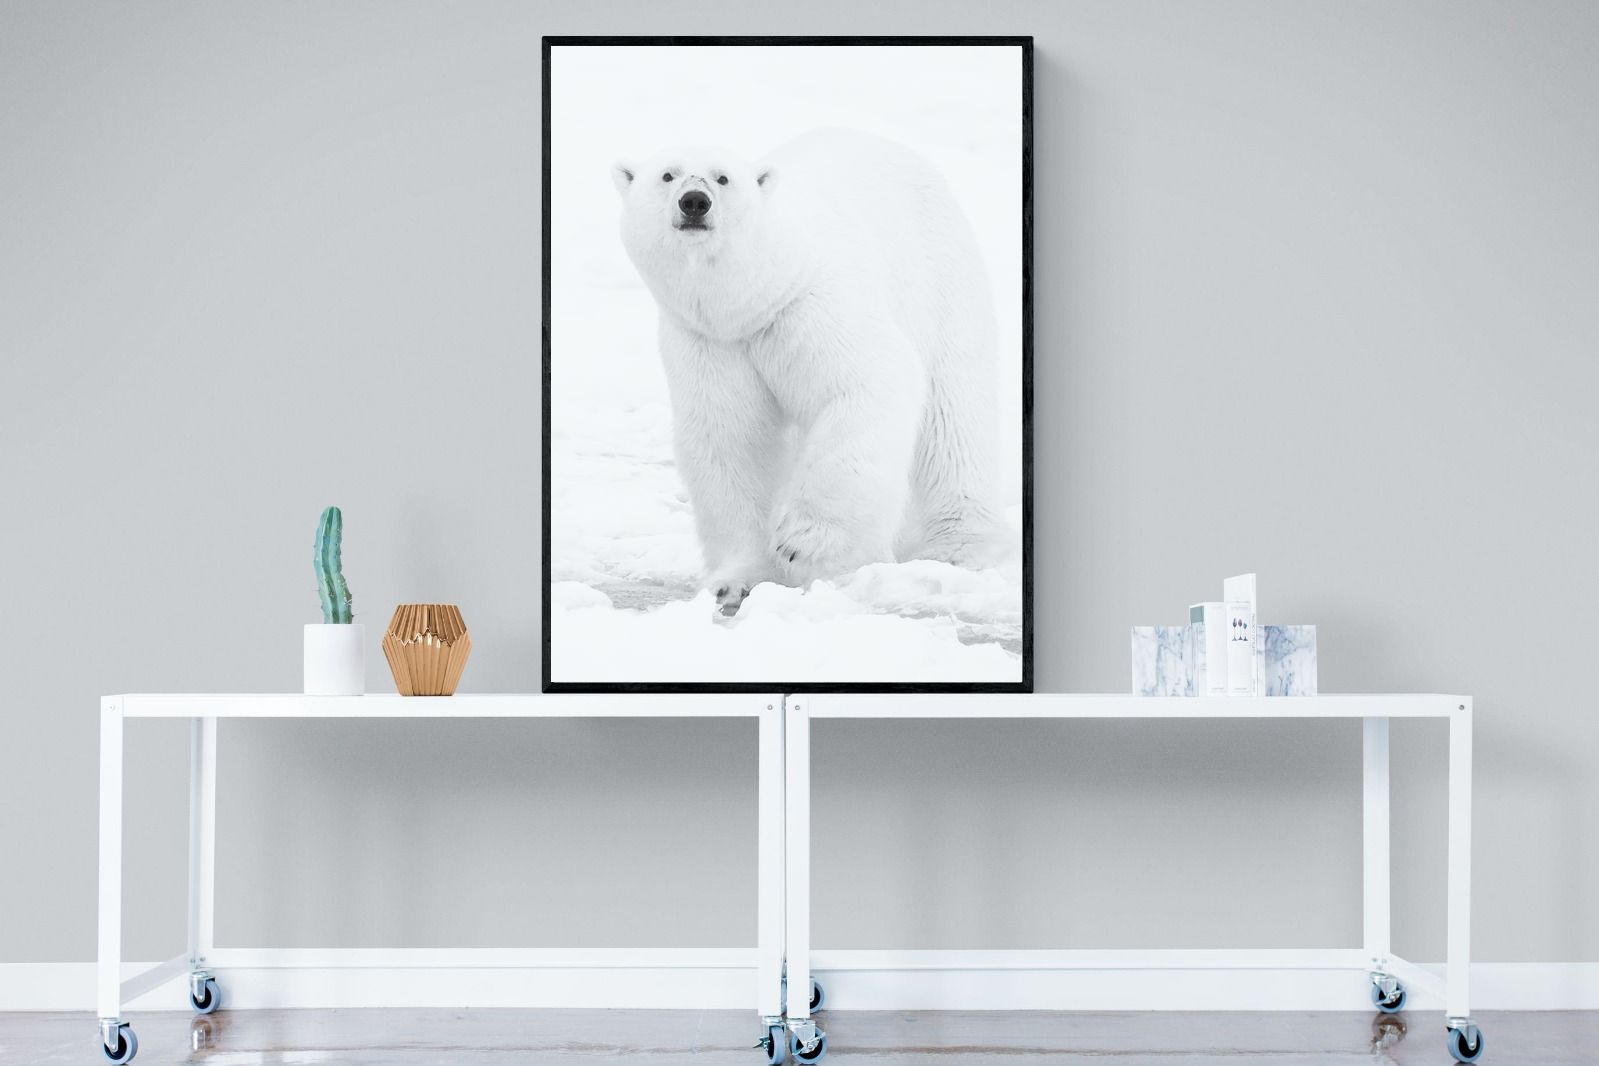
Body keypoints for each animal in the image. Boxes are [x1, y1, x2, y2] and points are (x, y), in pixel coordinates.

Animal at [611, 128, 1008, 616]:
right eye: (667, 175)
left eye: (723, 178)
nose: (694, 202)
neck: (752, 302)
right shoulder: (710, 342)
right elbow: (730, 440)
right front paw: (736, 582)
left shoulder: (808, 305)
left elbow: (867, 381)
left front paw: (804, 542)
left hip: (942, 278)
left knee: (954, 413)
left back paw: (954, 548)